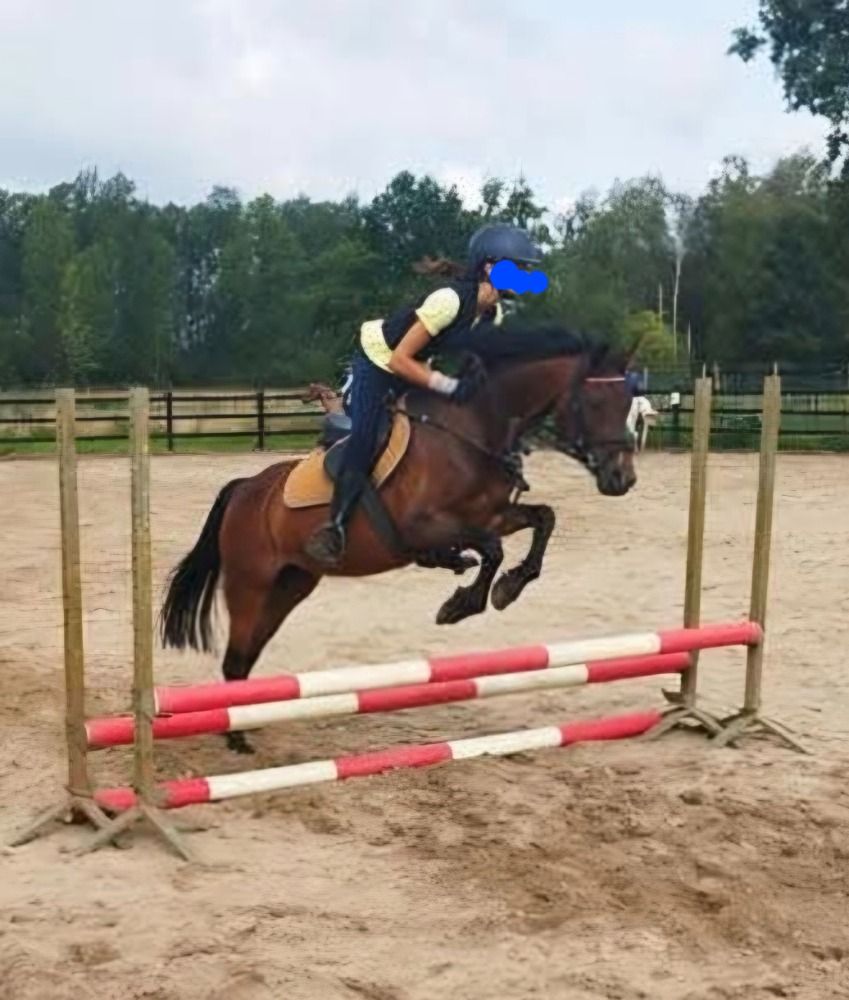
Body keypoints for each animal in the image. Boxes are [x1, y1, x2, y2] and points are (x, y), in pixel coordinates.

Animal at [159, 323, 639, 753]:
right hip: (250, 583)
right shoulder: (424, 526)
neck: (473, 430)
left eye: (630, 403)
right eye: (595, 402)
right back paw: (236, 737)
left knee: (246, 656)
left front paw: (507, 587)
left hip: (291, 585)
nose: (623, 479)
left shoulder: (494, 515)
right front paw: (462, 602)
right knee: (236, 655)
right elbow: (491, 548)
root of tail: (244, 488)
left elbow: (542, 520)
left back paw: (244, 723)